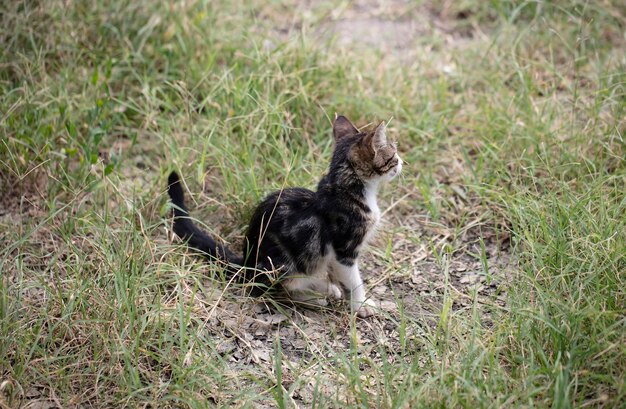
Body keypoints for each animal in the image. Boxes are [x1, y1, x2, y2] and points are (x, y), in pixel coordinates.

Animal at [166, 115, 400, 316]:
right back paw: (317, 292)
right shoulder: (344, 248)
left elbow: (339, 275)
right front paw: (361, 304)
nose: (401, 162)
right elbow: (353, 279)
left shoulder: (336, 255)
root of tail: (247, 261)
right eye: (393, 155)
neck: (344, 188)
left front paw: (345, 294)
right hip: (280, 265)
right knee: (280, 289)